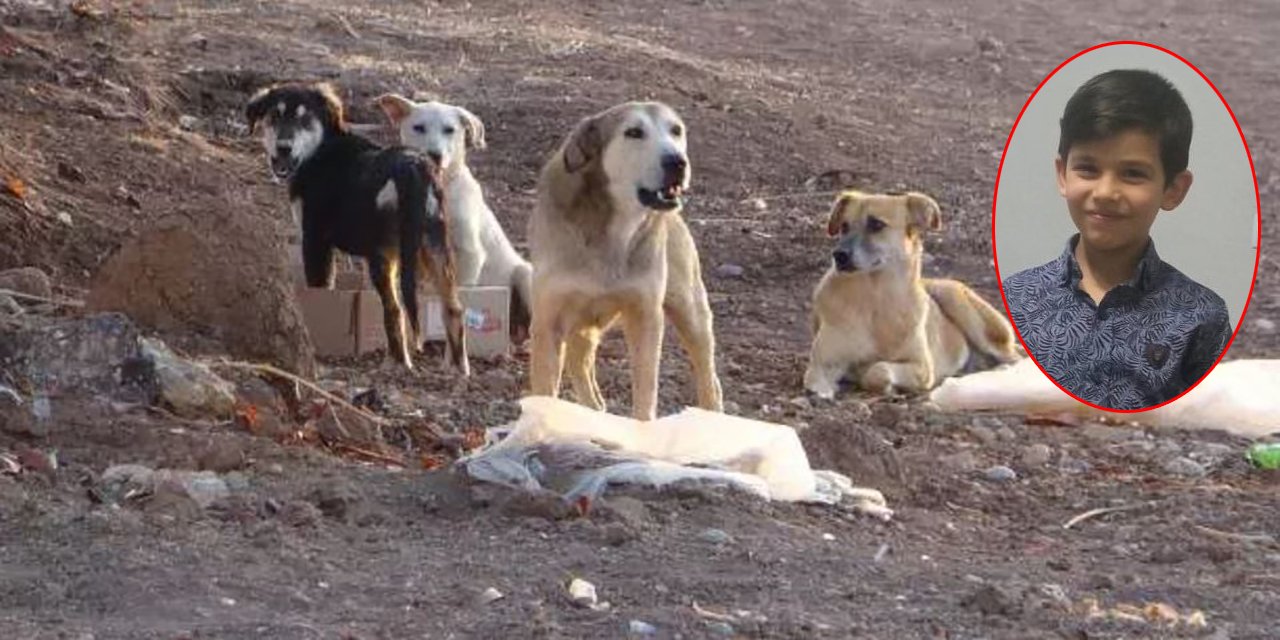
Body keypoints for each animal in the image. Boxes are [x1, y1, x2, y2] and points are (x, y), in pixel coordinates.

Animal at [241, 83, 468, 373]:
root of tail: (412, 167)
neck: (322, 148)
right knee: (453, 308)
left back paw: (399, 364)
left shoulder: (315, 241)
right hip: (435, 246)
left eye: (304, 119)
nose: (283, 148)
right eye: (274, 115)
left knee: (394, 309)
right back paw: (458, 371)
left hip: (383, 255)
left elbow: (321, 290)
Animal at [373, 93, 535, 343]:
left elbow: (459, 294)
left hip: (525, 274)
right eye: (418, 127)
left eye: (449, 130)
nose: (435, 155)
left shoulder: (469, 254)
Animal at [803, 188, 1024, 394]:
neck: (876, 298)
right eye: (844, 226)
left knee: (1014, 357)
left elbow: (878, 369)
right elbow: (815, 381)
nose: (839, 255)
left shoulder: (922, 368)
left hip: (956, 301)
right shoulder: (821, 364)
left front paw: (884, 384)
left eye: (876, 225)